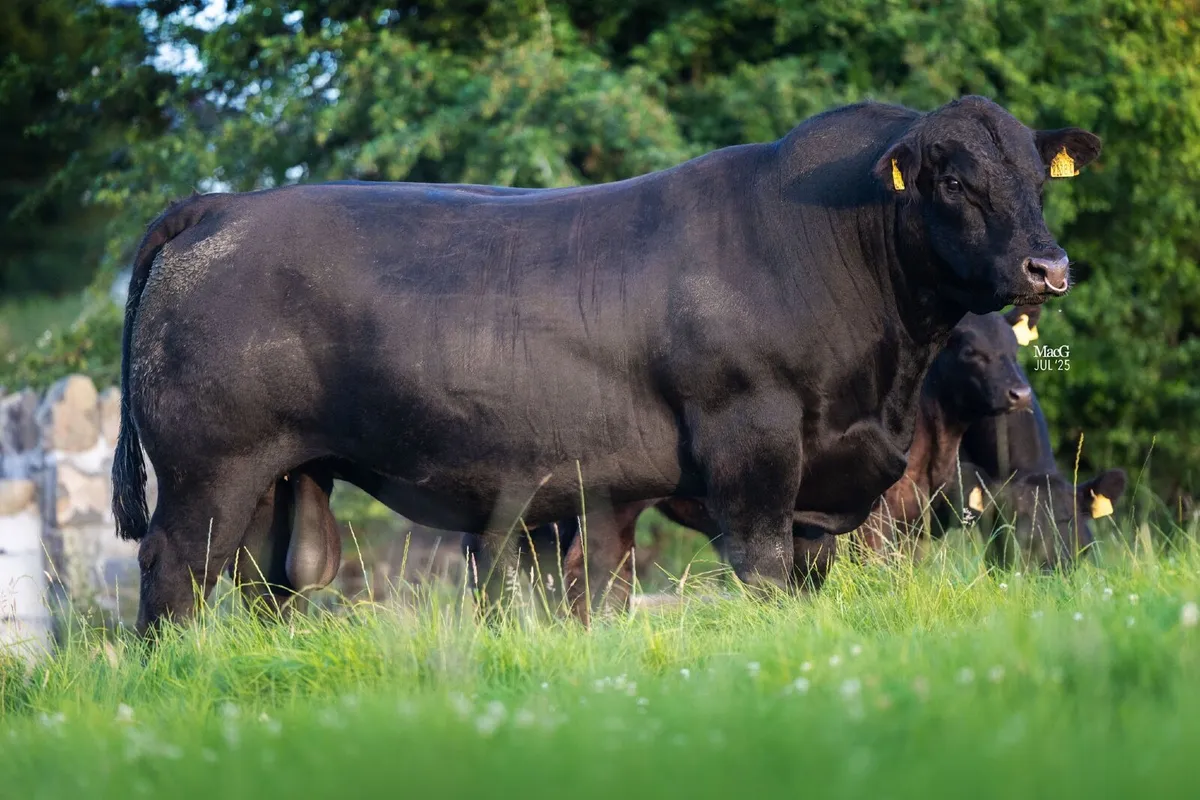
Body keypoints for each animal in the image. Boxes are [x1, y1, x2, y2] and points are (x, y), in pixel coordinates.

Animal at [112, 95, 1101, 634]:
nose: (1047, 267)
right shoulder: (753, 446)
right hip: (210, 467)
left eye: (1037, 179)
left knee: (270, 576)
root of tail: (226, 204)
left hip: (286, 474)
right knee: (175, 567)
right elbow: (762, 569)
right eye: (953, 180)